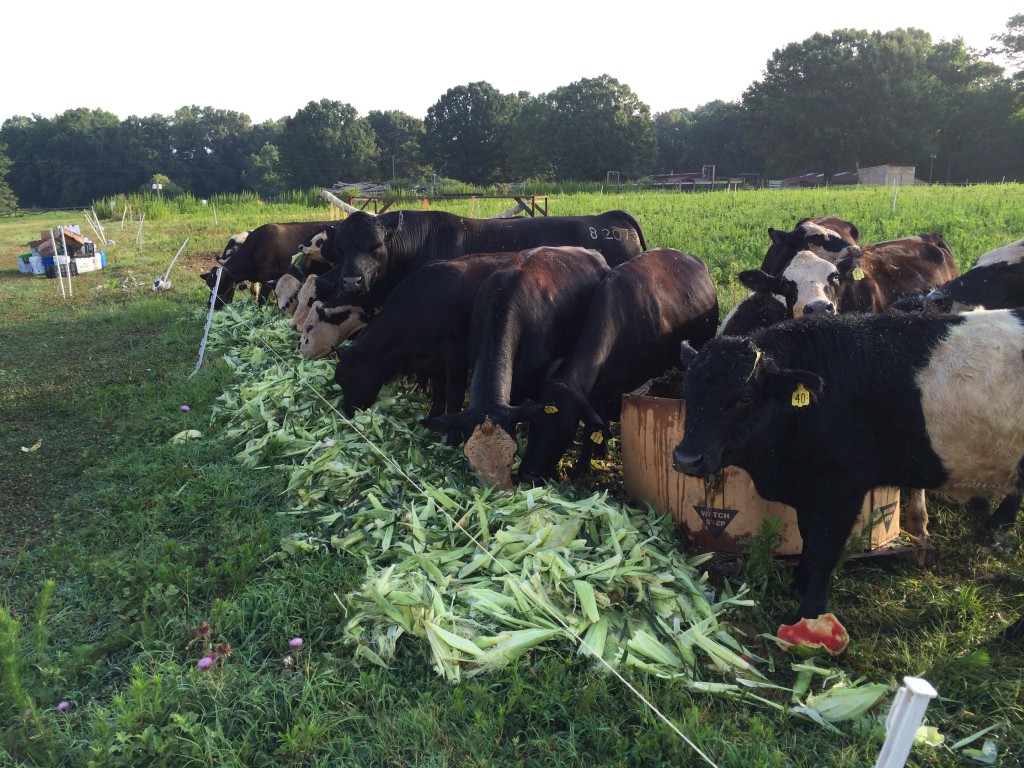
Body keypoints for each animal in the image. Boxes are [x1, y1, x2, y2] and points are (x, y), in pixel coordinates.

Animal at [520, 249, 720, 483]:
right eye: (533, 423)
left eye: (565, 429)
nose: (527, 473)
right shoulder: (596, 392)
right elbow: (597, 423)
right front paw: (599, 453)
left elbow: (591, 429)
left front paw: (580, 469)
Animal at [671, 307, 1024, 638]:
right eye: (688, 390)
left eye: (744, 397)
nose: (687, 458)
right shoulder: (810, 490)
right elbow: (808, 537)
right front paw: (799, 584)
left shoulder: (843, 488)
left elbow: (824, 549)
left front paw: (809, 613)